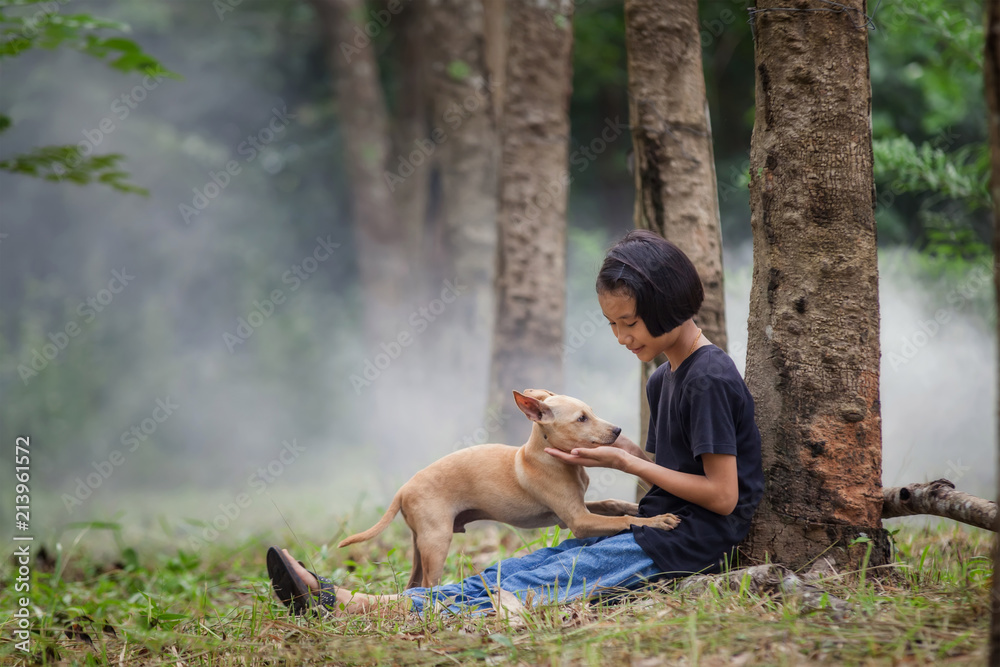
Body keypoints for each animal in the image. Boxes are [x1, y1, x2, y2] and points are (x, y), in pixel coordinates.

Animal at [342, 388, 680, 588]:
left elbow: (613, 505)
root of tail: (404, 488)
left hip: (419, 542)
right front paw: (657, 520)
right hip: (437, 541)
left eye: (592, 412)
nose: (618, 431)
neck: (546, 457)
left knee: (413, 585)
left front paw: (638, 507)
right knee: (428, 585)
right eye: (582, 418)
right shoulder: (578, 521)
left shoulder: (576, 511)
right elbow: (623, 520)